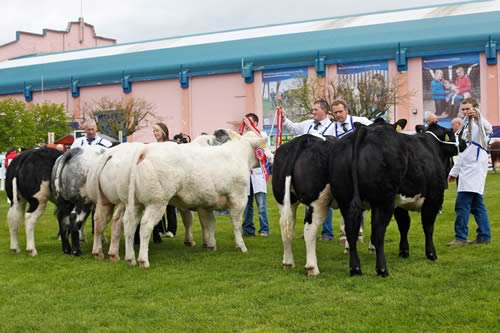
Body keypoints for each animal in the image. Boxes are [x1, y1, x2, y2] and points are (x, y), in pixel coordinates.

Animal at [125, 130, 266, 268]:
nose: (270, 157)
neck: (239, 156)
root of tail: (147, 149)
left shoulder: (206, 203)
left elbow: (208, 223)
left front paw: (210, 245)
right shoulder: (238, 198)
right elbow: (236, 224)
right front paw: (241, 246)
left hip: (136, 203)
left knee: (129, 224)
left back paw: (130, 258)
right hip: (156, 201)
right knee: (145, 225)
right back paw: (143, 260)